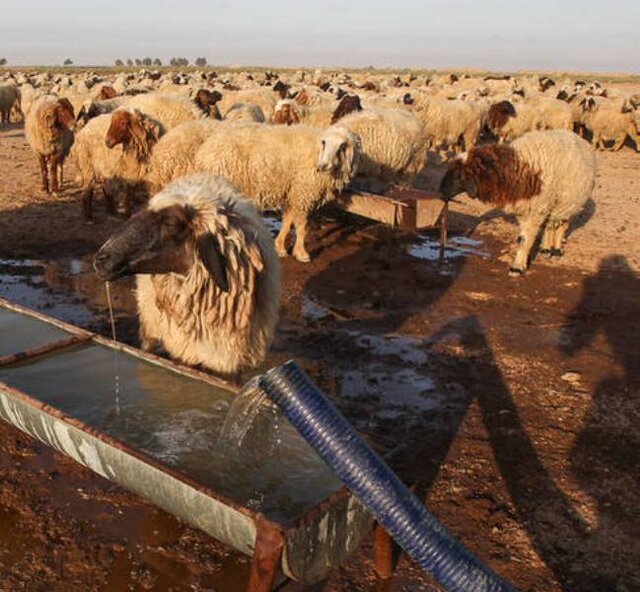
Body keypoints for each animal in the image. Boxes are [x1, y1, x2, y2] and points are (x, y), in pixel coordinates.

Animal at [192, 122, 360, 262]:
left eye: (342, 146)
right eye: (324, 142)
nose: (323, 166)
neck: (315, 152)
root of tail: (204, 151)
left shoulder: (292, 192)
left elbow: (288, 220)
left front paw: (279, 247)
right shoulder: (302, 192)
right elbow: (301, 224)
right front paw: (301, 252)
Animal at [440, 130, 596, 276]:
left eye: (459, 175)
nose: (441, 191)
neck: (515, 169)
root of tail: (574, 135)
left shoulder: (535, 210)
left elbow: (523, 239)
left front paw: (517, 267)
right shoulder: (526, 208)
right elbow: (523, 237)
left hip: (568, 201)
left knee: (561, 223)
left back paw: (556, 250)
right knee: (550, 224)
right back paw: (545, 249)